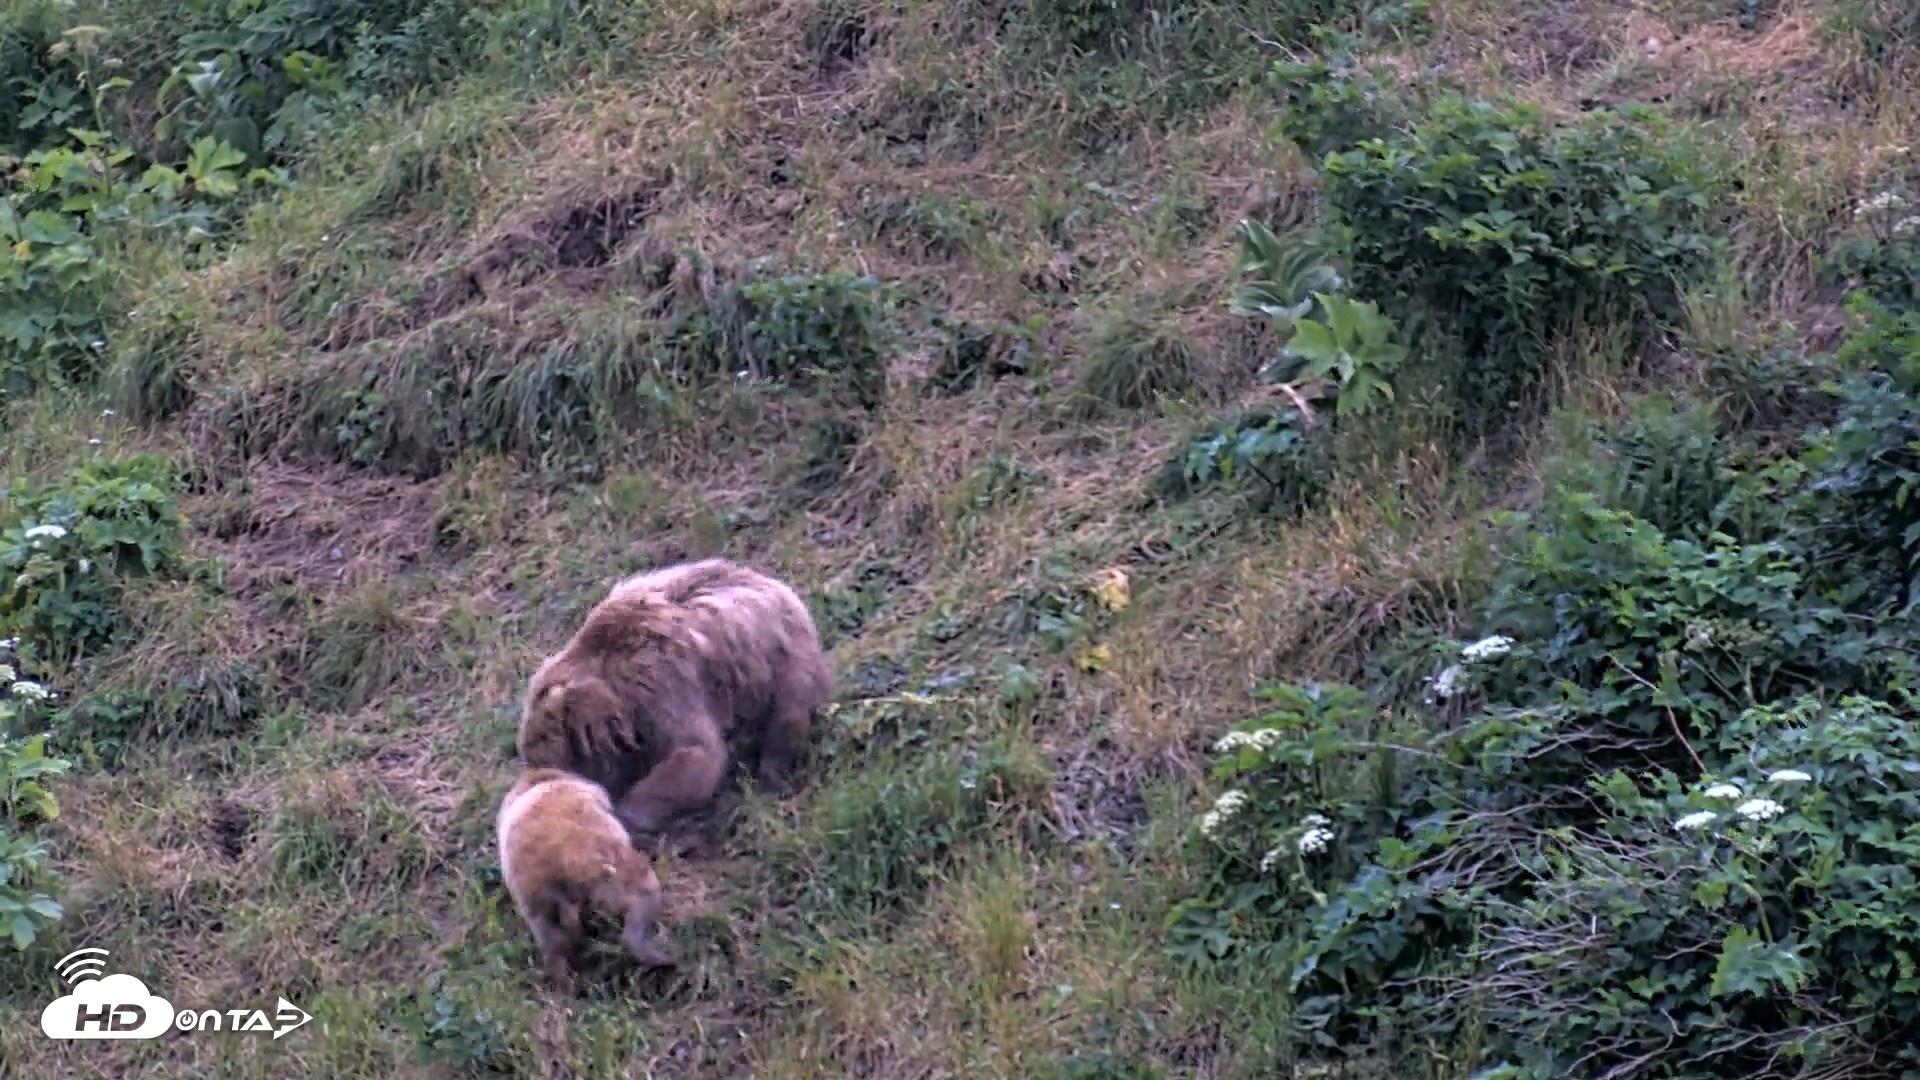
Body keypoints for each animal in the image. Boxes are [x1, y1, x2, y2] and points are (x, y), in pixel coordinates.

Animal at [496, 766, 675, 994]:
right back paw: (661, 957)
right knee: (639, 907)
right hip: (623, 878)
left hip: (538, 905)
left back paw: (567, 985)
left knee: (554, 942)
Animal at [517, 557, 833, 840]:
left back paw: (772, 770)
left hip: (780, 657)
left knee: (788, 712)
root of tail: (780, 586)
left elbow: (697, 752)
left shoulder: (662, 686)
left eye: (552, 762)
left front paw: (629, 813)